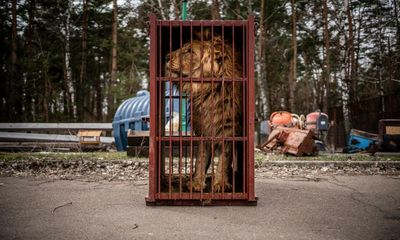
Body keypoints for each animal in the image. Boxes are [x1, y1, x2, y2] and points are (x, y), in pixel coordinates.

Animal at [164, 32, 242, 193]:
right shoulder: (204, 130)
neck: (208, 92)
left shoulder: (229, 129)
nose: (166, 57)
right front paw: (196, 183)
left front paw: (220, 184)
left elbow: (224, 160)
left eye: (189, 51)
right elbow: (200, 159)